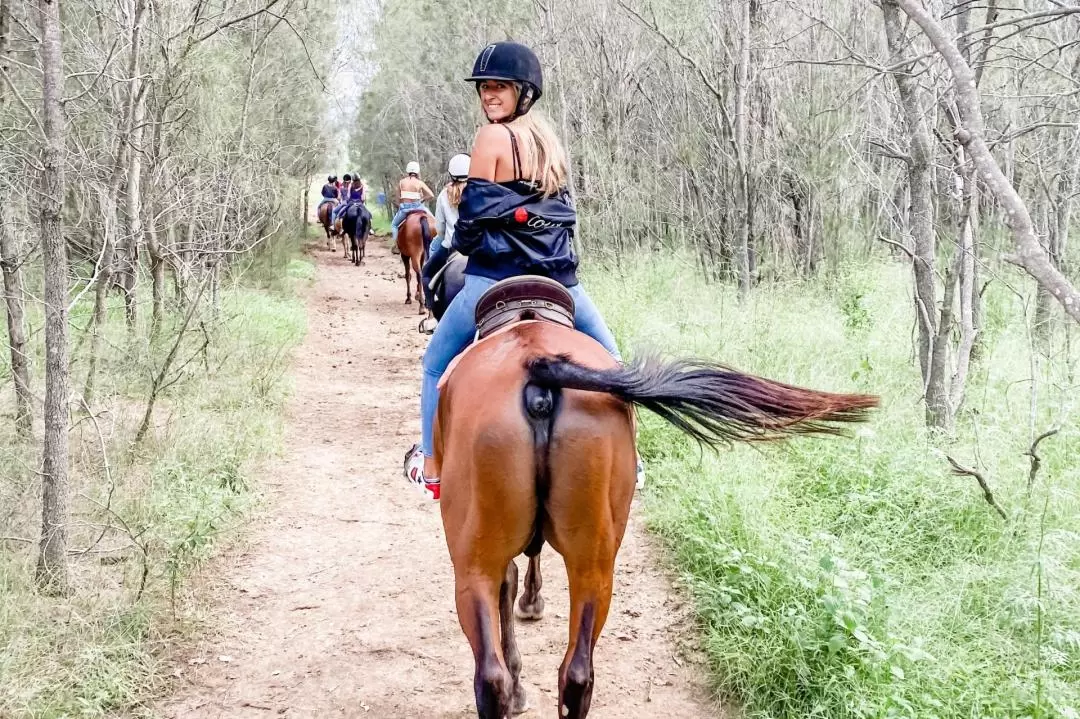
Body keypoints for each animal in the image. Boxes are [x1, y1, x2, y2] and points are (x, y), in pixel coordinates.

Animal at [429, 321, 876, 712]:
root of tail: (536, 370)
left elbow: (512, 583)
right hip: (591, 566)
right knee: (574, 675)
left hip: (476, 566)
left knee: (494, 675)